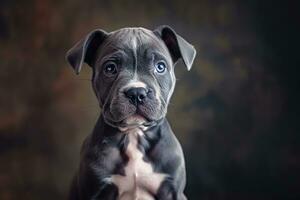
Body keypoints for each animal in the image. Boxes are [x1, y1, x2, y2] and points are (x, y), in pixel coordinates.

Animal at [66, 25, 196, 199]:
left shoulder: (172, 191)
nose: (136, 92)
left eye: (160, 67)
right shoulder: (95, 191)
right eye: (110, 68)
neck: (134, 133)